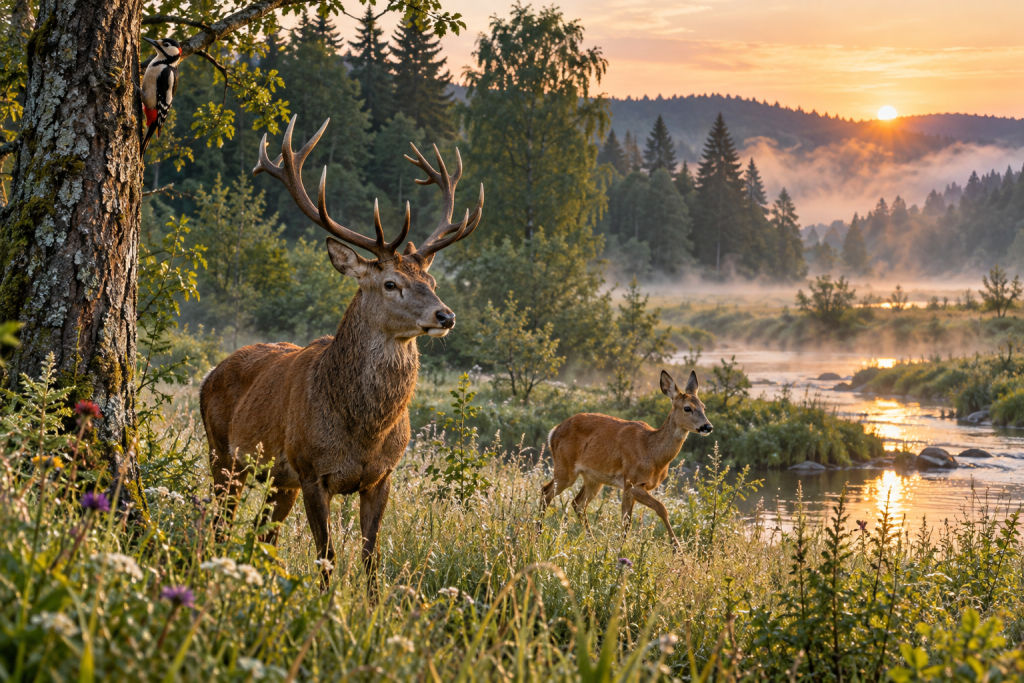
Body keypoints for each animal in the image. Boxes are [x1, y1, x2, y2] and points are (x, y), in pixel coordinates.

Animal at [199, 115, 483, 594]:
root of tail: (211, 373)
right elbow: (327, 558)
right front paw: (327, 607)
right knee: (219, 522)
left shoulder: (382, 476)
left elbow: (371, 559)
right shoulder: (312, 471)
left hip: (277, 480)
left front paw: (371, 606)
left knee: (263, 533)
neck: (363, 431)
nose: (445, 315)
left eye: (430, 280)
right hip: (224, 454)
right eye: (390, 283)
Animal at [540, 370, 712, 550]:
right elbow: (656, 510)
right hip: (565, 468)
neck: (652, 452)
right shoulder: (631, 482)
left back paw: (592, 541)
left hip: (593, 478)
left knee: (577, 503)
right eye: (687, 408)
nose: (708, 426)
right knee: (546, 492)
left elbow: (630, 521)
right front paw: (676, 549)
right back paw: (538, 533)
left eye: (704, 407)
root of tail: (553, 432)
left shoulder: (636, 486)